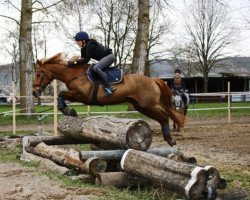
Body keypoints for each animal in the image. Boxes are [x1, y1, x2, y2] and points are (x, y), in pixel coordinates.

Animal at [32, 53, 185, 147]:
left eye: (39, 74)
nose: (34, 92)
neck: (74, 74)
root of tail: (153, 80)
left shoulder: (82, 95)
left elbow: (61, 94)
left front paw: (68, 111)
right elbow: (62, 95)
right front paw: (69, 110)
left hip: (148, 105)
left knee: (164, 116)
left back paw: (170, 139)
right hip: (141, 106)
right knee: (162, 117)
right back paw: (169, 138)